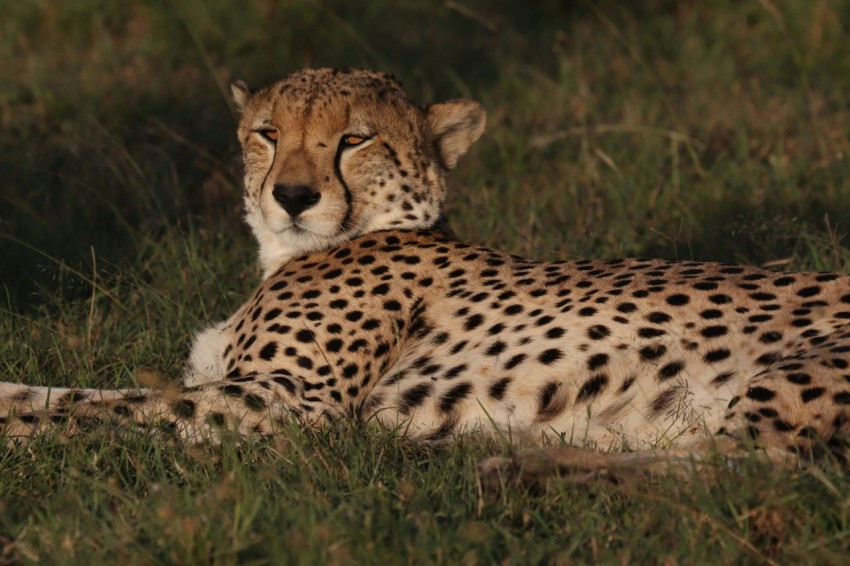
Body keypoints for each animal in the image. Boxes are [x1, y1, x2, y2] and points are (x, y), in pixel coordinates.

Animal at [3, 68, 850, 483]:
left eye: (354, 140)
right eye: (267, 134)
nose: (293, 196)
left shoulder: (296, 403)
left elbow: (112, 405)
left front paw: (15, 418)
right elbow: (113, 398)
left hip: (793, 374)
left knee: (764, 470)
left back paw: (524, 469)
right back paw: (526, 463)